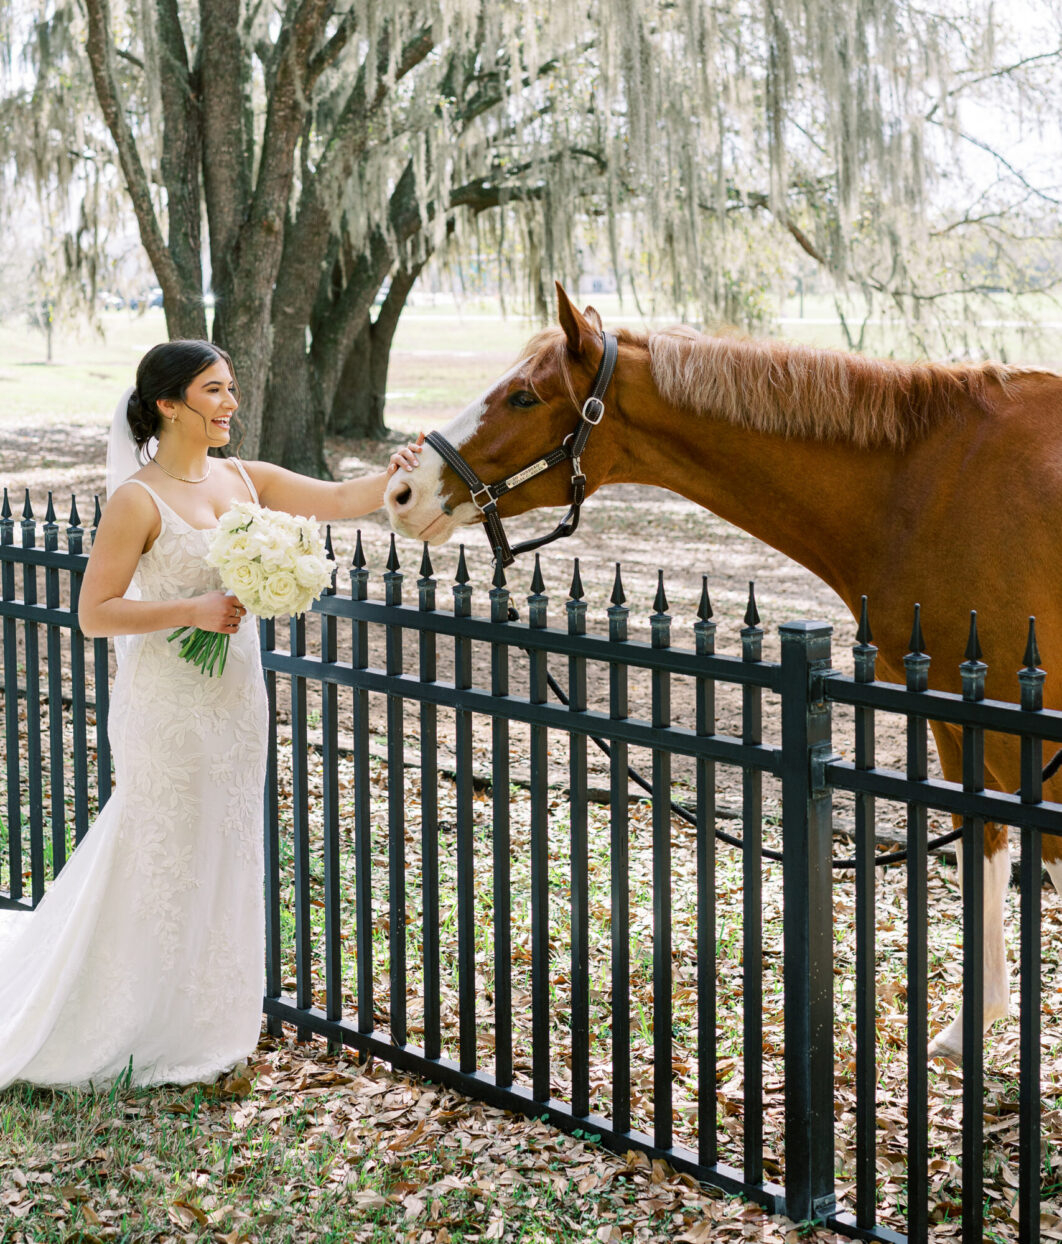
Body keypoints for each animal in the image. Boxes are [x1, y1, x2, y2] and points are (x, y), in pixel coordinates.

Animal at [384, 282, 1062, 1062]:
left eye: (524, 396)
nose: (402, 491)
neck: (934, 482)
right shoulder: (958, 713)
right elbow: (983, 842)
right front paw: (970, 1026)